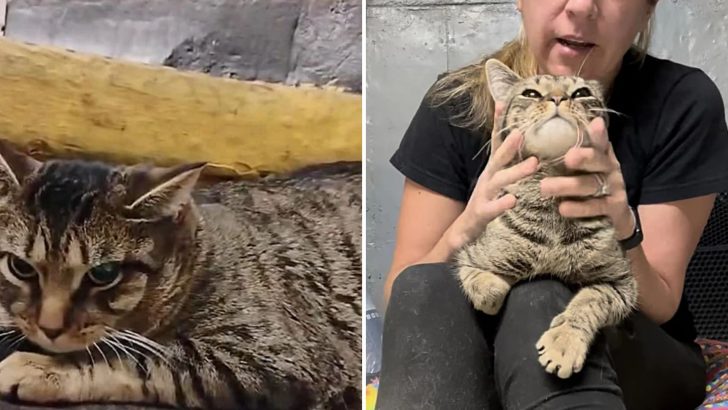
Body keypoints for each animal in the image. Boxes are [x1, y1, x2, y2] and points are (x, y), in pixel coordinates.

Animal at [0, 139, 362, 408]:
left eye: (103, 273)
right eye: (20, 267)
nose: (49, 328)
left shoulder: (273, 355)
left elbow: (138, 357)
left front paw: (40, 367)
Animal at [456, 59, 636, 380]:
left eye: (581, 93)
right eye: (530, 93)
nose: (557, 98)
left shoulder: (622, 284)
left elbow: (589, 300)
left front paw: (564, 342)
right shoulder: (470, 256)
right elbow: (485, 285)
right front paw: (496, 289)